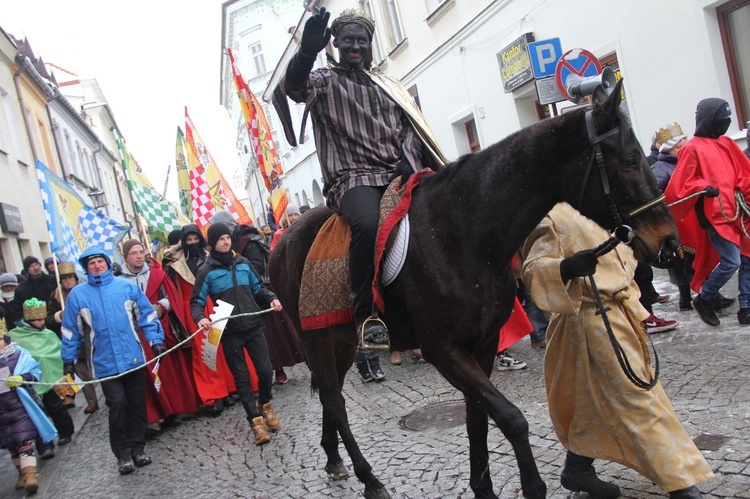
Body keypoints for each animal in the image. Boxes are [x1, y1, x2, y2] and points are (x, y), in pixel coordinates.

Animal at [270, 80, 680, 498]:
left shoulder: (482, 343)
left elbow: (477, 418)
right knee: (336, 403)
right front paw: (532, 485)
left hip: (340, 341)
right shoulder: (443, 349)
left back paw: (334, 459)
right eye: (629, 159)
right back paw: (369, 478)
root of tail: (284, 239)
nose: (668, 240)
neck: (464, 232)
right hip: (315, 340)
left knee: (330, 397)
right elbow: (510, 418)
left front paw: (482, 486)